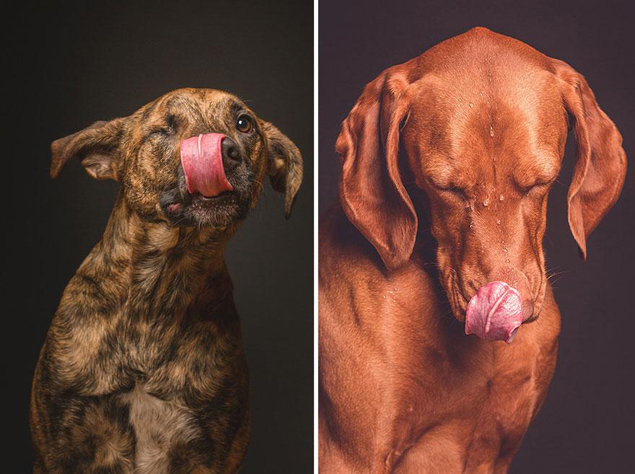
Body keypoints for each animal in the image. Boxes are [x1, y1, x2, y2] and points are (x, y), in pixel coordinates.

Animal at [31, 89, 304, 474]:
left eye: (244, 123)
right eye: (163, 129)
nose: (224, 150)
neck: (159, 290)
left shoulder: (210, 453)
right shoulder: (58, 448)